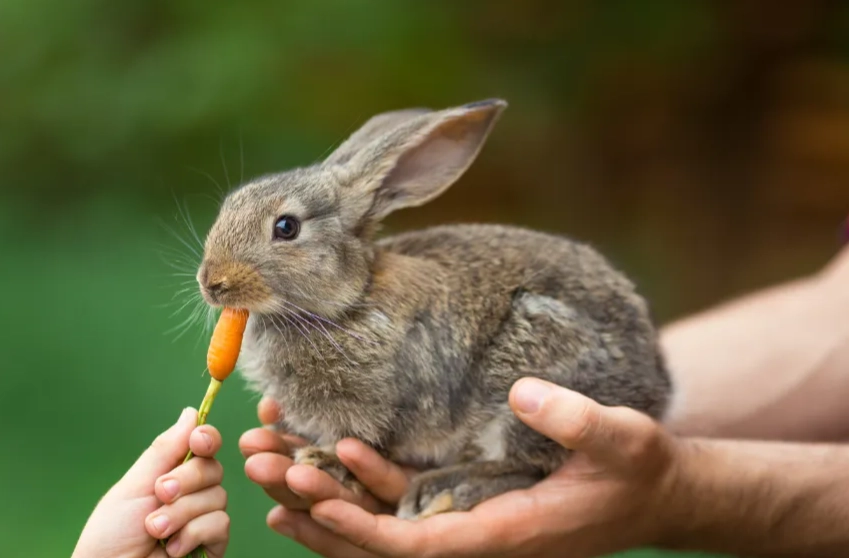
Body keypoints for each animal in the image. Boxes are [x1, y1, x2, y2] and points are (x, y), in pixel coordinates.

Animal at [196, 98, 672, 520]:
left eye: (286, 227)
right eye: (229, 206)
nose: (211, 282)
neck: (348, 301)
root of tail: (656, 393)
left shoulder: (371, 406)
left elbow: (360, 439)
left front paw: (323, 460)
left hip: (526, 381)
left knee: (526, 464)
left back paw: (444, 490)